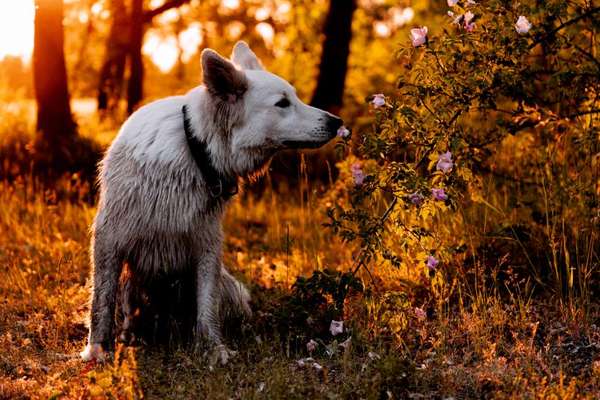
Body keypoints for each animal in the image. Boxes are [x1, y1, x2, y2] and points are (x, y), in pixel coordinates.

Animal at [81, 41, 342, 362]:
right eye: (282, 103)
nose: (337, 122)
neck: (195, 150)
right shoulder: (110, 239)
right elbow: (101, 302)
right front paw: (97, 350)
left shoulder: (207, 243)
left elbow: (206, 304)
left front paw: (213, 348)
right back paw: (130, 334)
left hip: (229, 289)